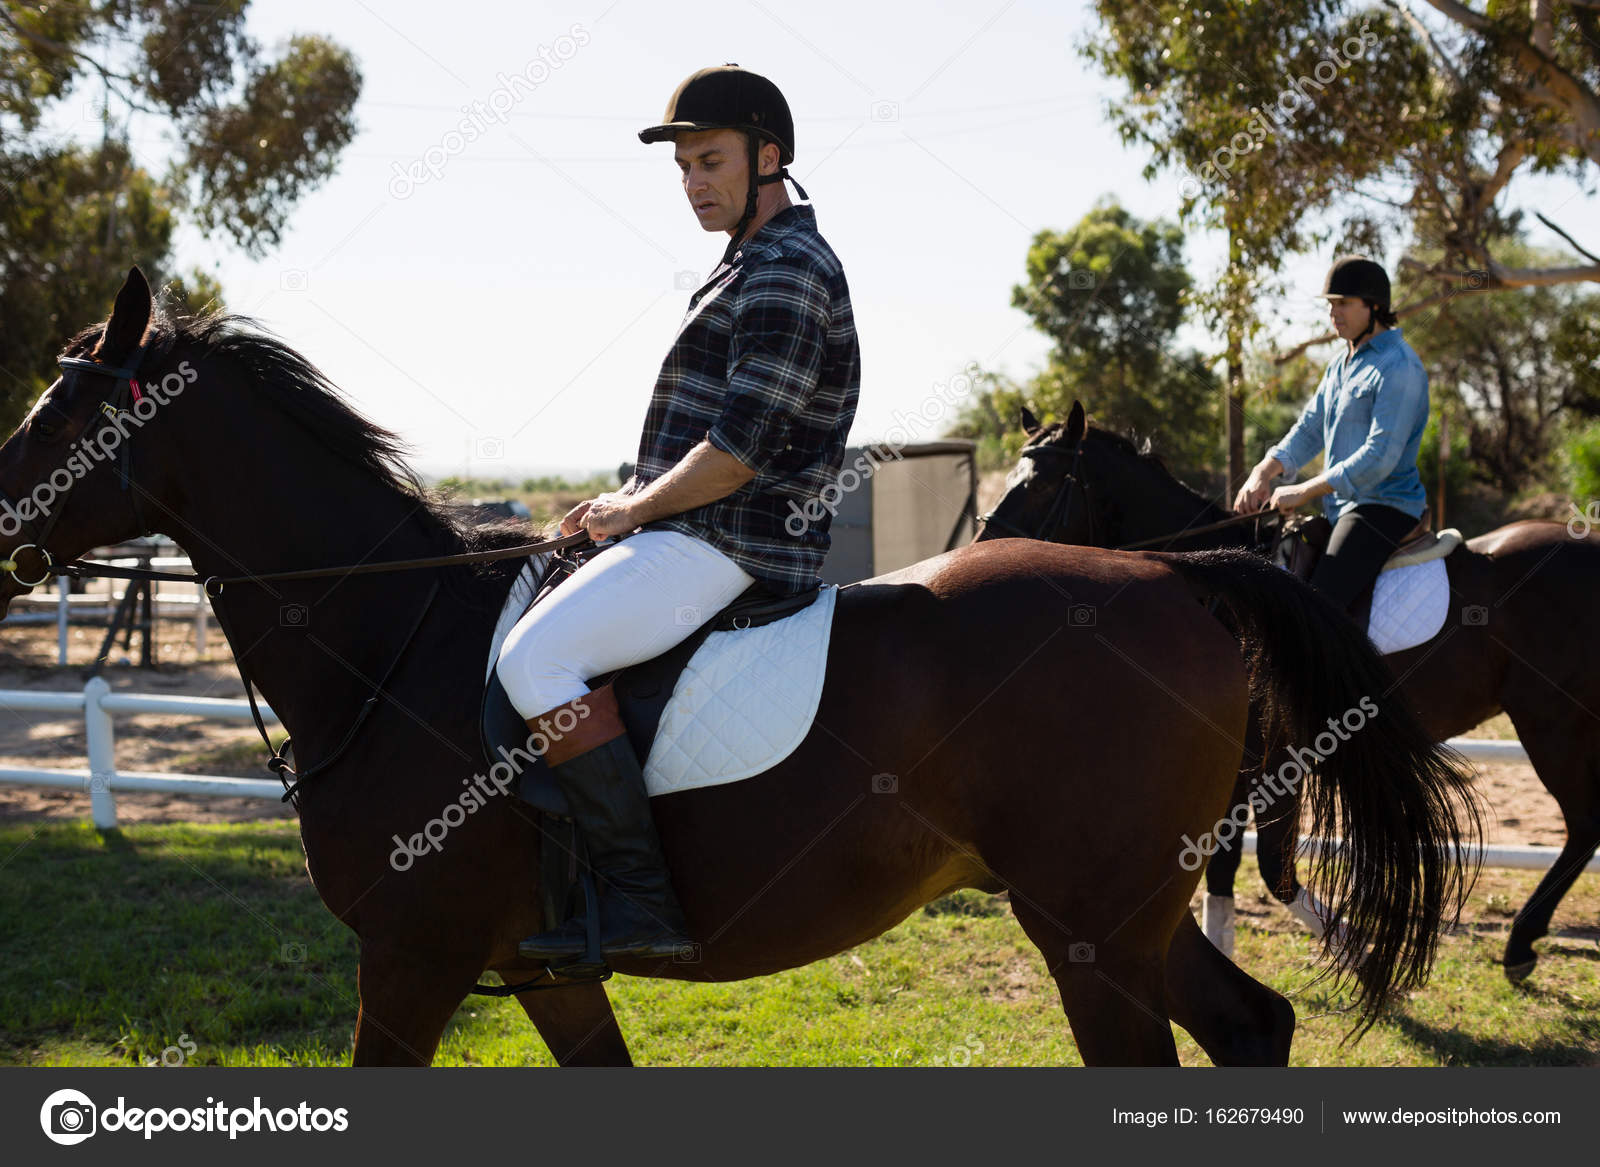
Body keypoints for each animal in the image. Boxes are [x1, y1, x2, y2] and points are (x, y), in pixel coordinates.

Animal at [0, 268, 1478, 1062]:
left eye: (59, 414)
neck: (384, 646)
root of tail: (1174, 578)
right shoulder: (543, 970)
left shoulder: (414, 960)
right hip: (1125, 914)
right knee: (1250, 1026)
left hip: (1092, 933)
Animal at [979, 398, 1593, 973]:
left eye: (1044, 482)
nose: (983, 549)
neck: (1213, 587)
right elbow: (1240, 865)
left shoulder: (1270, 757)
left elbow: (1268, 868)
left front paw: (1360, 953)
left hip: (1555, 722)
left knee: (1584, 825)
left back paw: (1520, 946)